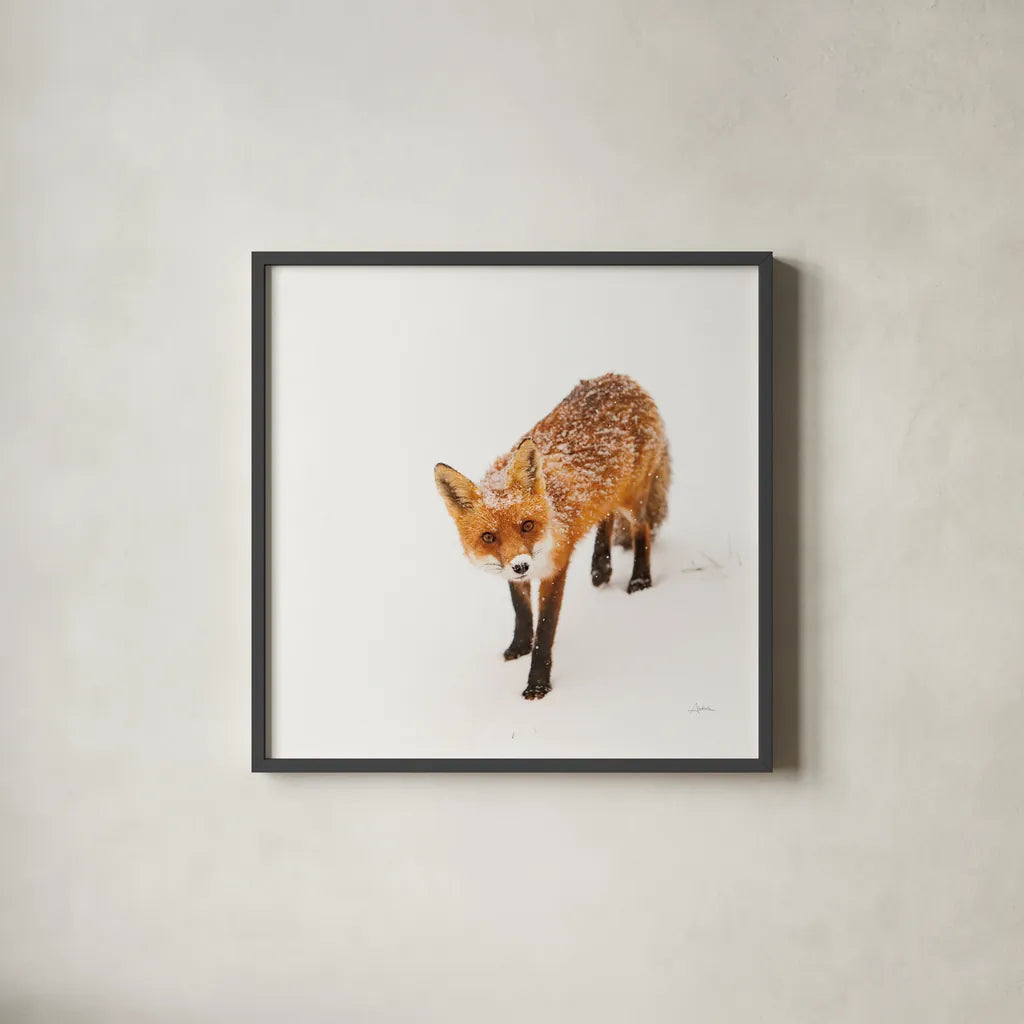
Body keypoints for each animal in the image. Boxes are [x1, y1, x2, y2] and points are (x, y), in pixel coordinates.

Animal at [434, 373, 670, 700]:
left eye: (527, 525)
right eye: (488, 537)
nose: (521, 565)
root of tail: (621, 378)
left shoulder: (556, 567)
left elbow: (545, 629)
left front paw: (537, 684)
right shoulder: (513, 572)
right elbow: (521, 611)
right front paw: (519, 646)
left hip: (633, 499)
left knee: (641, 529)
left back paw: (639, 580)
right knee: (606, 516)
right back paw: (601, 567)